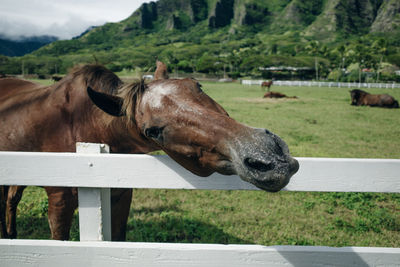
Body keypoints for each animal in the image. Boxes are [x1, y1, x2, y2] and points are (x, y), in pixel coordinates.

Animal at [0, 64, 298, 241]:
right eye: (152, 131)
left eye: (198, 86)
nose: (268, 156)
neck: (83, 126)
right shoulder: (60, 201)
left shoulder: (121, 196)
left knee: (11, 199)